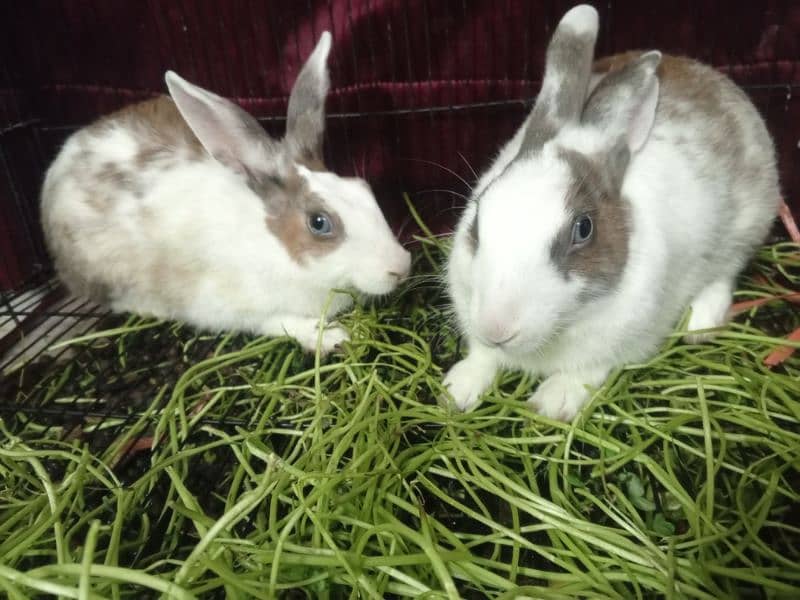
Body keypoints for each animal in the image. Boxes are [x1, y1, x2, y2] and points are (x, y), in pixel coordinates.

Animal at [39, 31, 410, 352]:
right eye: (319, 223)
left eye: (364, 189)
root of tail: (60, 163)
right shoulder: (233, 308)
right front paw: (332, 336)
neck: (274, 247)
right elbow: (280, 322)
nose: (402, 266)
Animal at [440, 4, 780, 420]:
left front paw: (552, 404)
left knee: (725, 272)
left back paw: (700, 324)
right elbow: (483, 358)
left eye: (583, 229)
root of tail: (711, 75)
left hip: (749, 222)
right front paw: (455, 391)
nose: (496, 327)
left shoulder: (625, 340)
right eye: (477, 218)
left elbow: (586, 372)